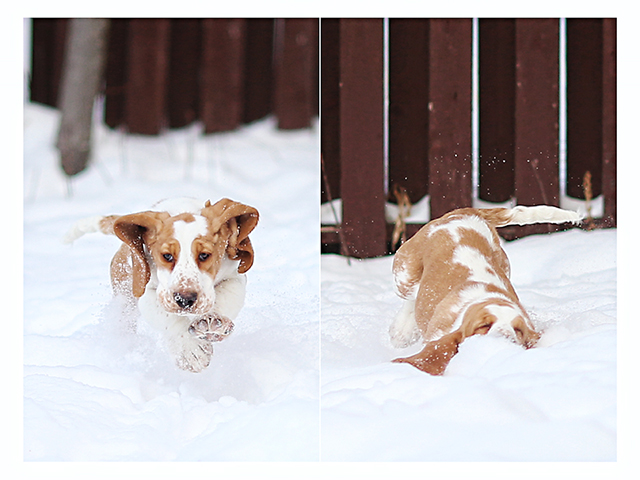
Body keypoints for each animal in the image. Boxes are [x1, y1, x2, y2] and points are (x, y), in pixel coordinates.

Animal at [63, 197, 258, 374]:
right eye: (167, 256)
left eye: (204, 255)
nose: (185, 300)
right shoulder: (147, 294)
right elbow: (170, 320)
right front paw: (190, 351)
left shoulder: (234, 278)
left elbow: (224, 299)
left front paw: (212, 324)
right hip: (124, 300)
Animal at [388, 203, 584, 376]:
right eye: (483, 326)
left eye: (518, 330)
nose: (504, 337)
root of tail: (465, 213)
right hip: (405, 275)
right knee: (409, 301)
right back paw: (401, 330)